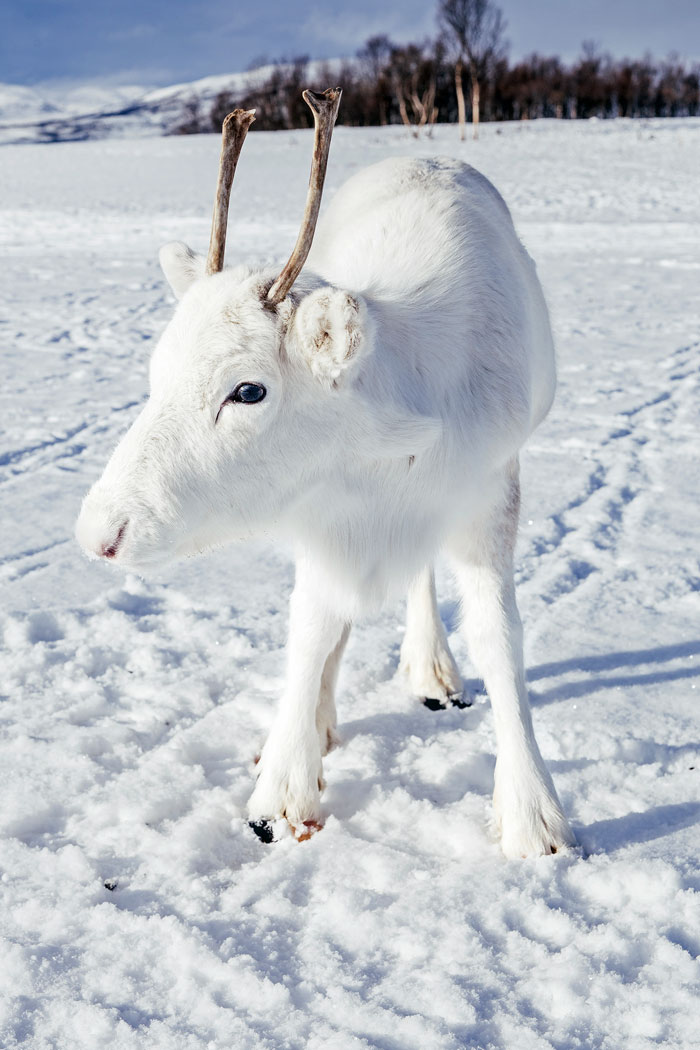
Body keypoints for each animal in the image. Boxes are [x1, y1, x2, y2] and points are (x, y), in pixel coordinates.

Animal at [76, 87, 576, 858]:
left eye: (248, 390)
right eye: (157, 371)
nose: (102, 533)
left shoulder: (489, 489)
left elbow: (499, 639)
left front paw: (533, 814)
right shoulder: (320, 514)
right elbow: (311, 630)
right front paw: (284, 787)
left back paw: (431, 669)